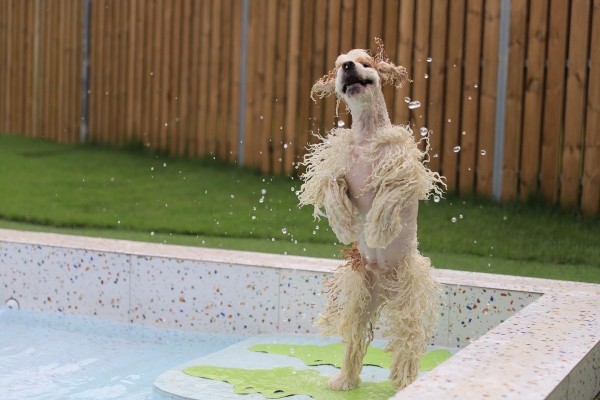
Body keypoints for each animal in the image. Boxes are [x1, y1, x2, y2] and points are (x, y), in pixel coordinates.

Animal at [299, 39, 445, 391]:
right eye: (337, 64)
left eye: (364, 61)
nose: (348, 66)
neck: (366, 136)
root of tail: (386, 283)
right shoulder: (335, 166)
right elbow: (331, 186)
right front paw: (345, 223)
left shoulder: (403, 171)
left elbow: (388, 195)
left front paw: (378, 230)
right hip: (360, 295)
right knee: (354, 340)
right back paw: (344, 380)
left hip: (408, 296)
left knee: (407, 344)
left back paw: (405, 382)